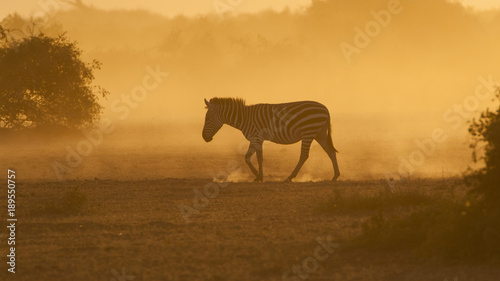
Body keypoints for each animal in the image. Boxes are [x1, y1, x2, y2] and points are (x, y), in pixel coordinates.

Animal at [201, 98, 338, 182]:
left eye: (207, 119)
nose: (204, 138)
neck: (244, 118)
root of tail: (325, 108)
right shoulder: (256, 139)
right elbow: (252, 157)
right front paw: (258, 176)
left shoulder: (256, 138)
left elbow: (254, 158)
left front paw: (258, 176)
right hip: (319, 133)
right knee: (330, 151)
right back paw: (335, 176)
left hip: (308, 133)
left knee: (304, 155)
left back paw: (290, 177)